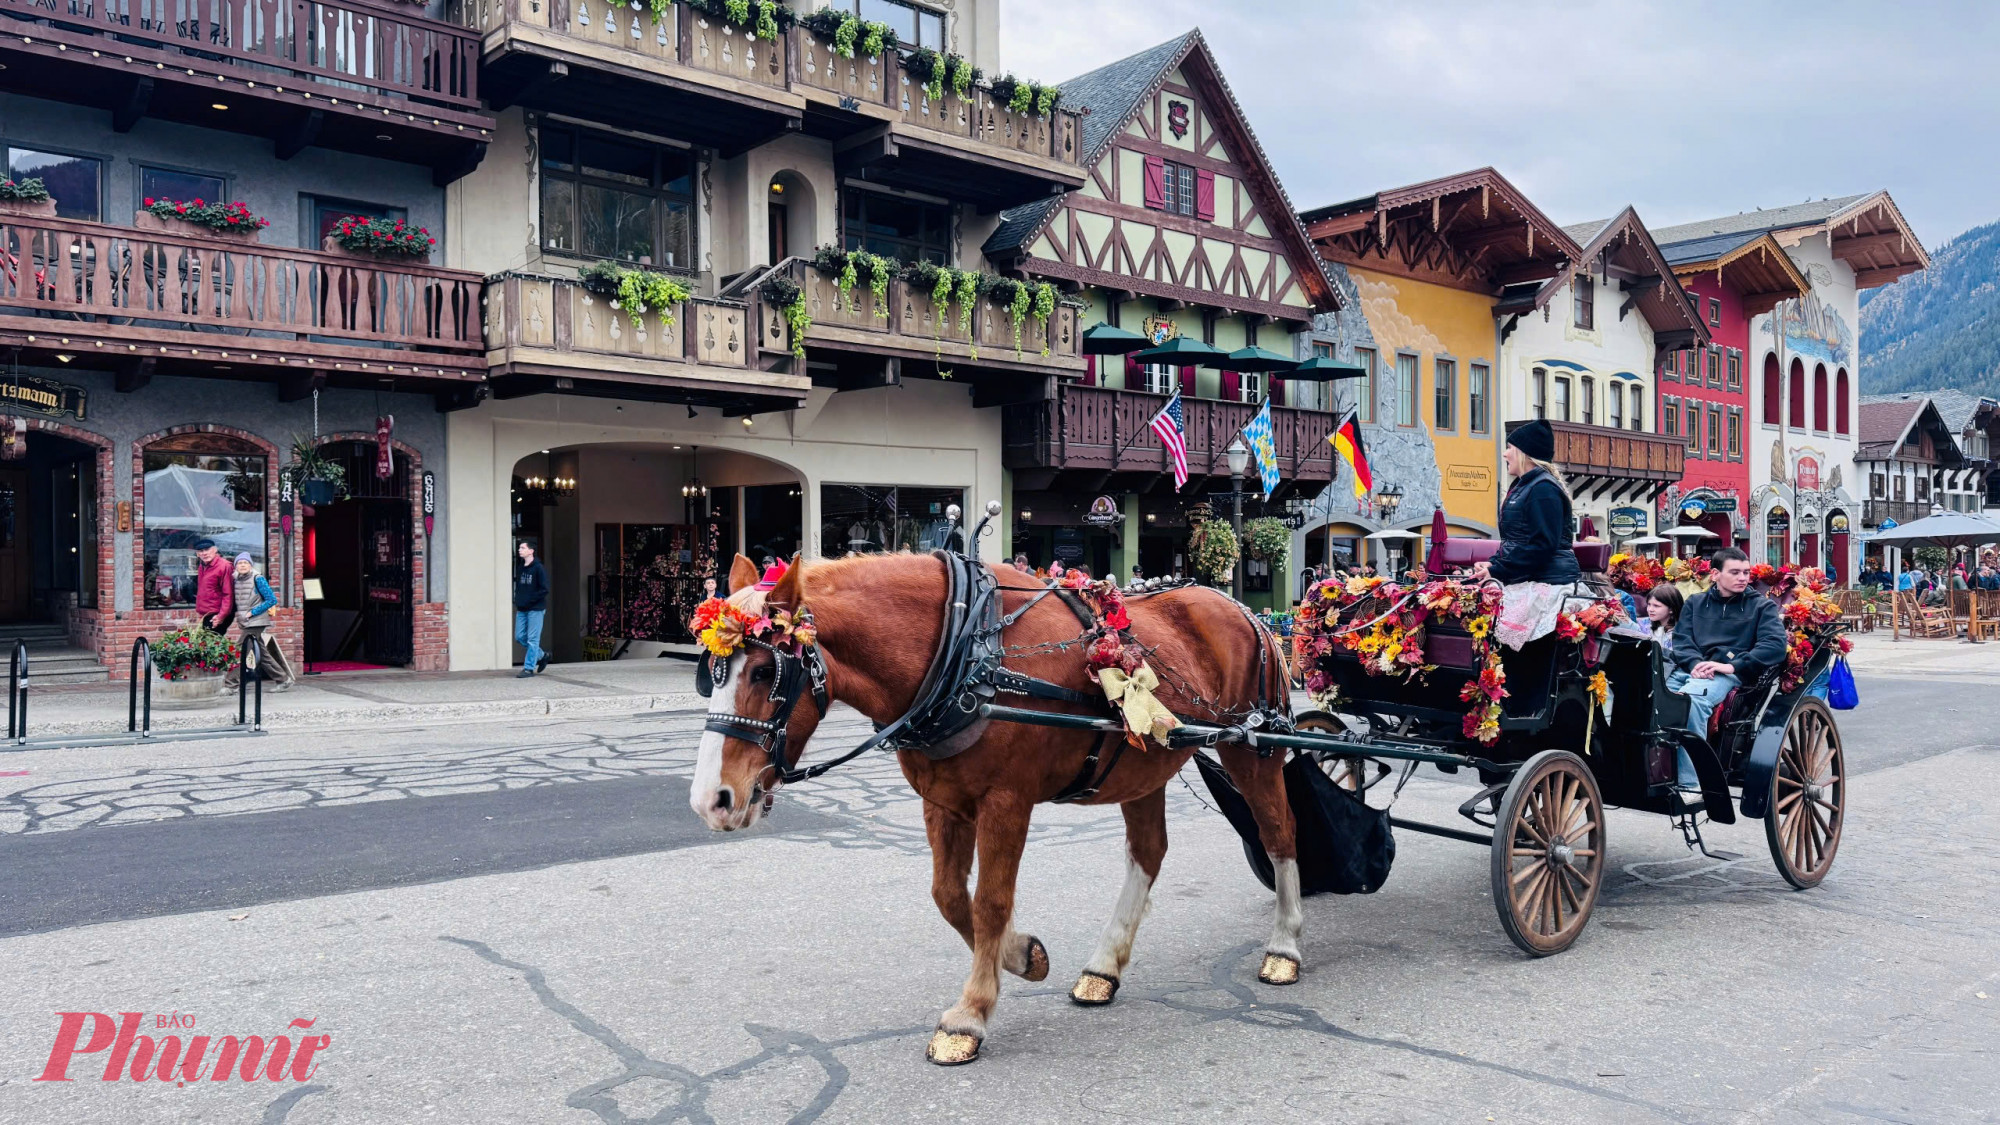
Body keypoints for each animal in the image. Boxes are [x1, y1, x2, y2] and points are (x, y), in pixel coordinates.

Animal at [696, 552, 1304, 1056]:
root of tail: (1243, 610)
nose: (711, 801)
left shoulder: (1007, 801)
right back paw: (1104, 967)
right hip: (1144, 760)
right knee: (1148, 852)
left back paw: (1284, 947)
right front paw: (1023, 956)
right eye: (712, 673)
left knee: (1279, 835)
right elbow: (948, 896)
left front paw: (970, 1015)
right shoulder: (942, 801)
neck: (965, 649)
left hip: (1252, 749)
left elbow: (989, 901)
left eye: (766, 672)